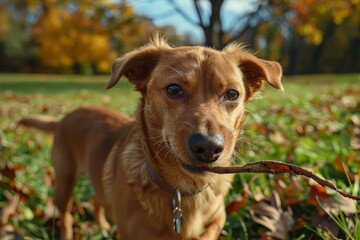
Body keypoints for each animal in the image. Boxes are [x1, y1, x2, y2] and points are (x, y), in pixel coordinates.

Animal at [19, 36, 282, 239]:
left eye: (232, 94)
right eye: (174, 89)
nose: (208, 147)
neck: (183, 189)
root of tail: (65, 117)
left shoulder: (215, 222)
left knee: (97, 199)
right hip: (64, 180)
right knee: (64, 216)